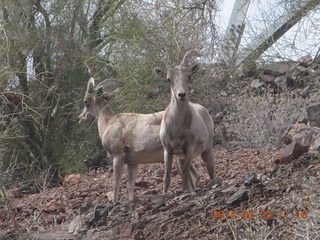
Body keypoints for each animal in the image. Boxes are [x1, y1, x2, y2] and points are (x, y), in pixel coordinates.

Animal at [154, 50, 216, 193]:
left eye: (189, 76)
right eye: (168, 79)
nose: (181, 95)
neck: (177, 128)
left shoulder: (189, 148)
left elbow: (184, 174)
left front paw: (186, 192)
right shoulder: (169, 150)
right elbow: (167, 176)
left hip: (207, 149)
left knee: (210, 170)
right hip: (180, 157)